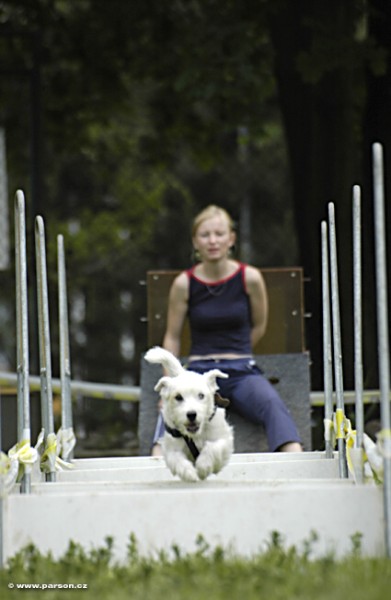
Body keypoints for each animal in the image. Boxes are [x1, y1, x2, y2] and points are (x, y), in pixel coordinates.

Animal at [145, 346, 234, 482]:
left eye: (201, 395)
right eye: (178, 397)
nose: (191, 414)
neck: (194, 435)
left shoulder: (223, 440)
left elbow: (211, 447)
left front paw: (203, 467)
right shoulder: (171, 447)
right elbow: (176, 459)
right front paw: (189, 473)